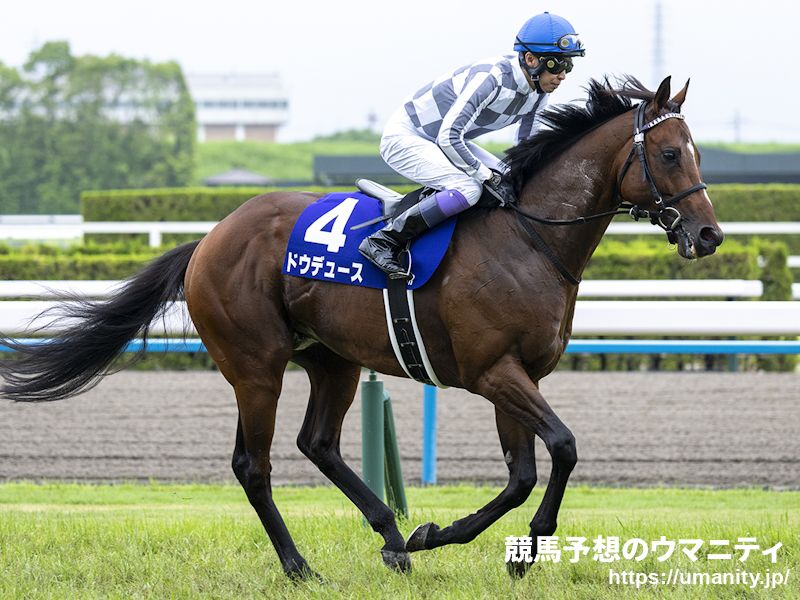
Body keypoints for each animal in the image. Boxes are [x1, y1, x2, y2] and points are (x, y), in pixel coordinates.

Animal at [0, 75, 723, 580]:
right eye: (667, 153)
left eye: (697, 153)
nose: (710, 235)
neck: (529, 240)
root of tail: (207, 240)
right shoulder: (494, 373)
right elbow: (565, 448)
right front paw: (491, 544)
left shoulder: (517, 375)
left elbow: (522, 473)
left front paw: (457, 540)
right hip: (255, 365)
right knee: (254, 464)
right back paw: (302, 567)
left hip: (332, 359)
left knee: (317, 443)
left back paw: (392, 539)